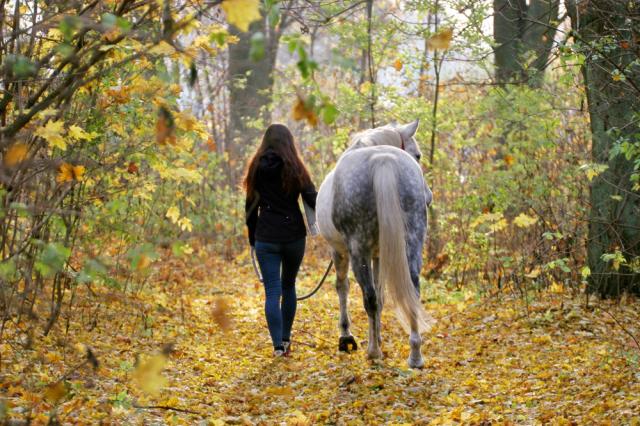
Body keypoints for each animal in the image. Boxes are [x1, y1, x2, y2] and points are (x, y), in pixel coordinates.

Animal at [316, 120, 436, 370]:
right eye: (418, 155)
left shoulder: (339, 251)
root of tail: (383, 160)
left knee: (368, 297)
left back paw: (373, 352)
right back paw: (415, 356)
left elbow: (343, 288)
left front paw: (347, 337)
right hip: (412, 241)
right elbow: (381, 298)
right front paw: (378, 337)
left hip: (358, 250)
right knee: (412, 290)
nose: (429, 197)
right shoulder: (379, 255)